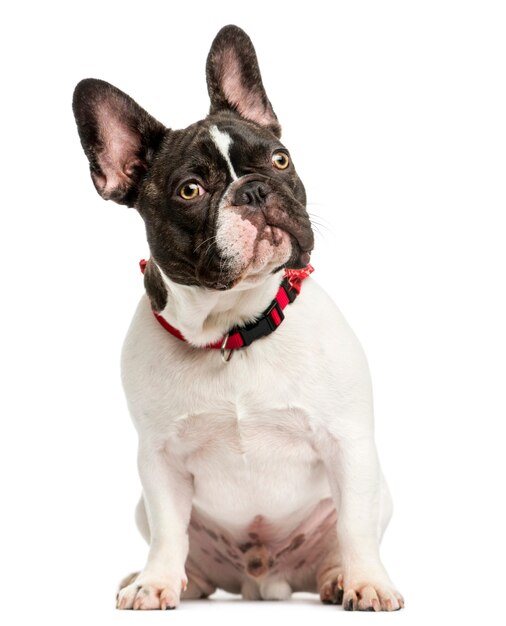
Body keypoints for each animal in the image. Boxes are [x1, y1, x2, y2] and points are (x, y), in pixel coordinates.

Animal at [72, 24, 404, 608]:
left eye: (280, 160)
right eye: (190, 190)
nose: (253, 190)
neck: (234, 332)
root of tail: (260, 576)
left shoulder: (350, 445)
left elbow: (356, 526)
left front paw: (367, 582)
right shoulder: (158, 461)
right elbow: (168, 529)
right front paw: (155, 583)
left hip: (374, 493)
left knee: (343, 535)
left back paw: (337, 578)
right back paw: (161, 578)